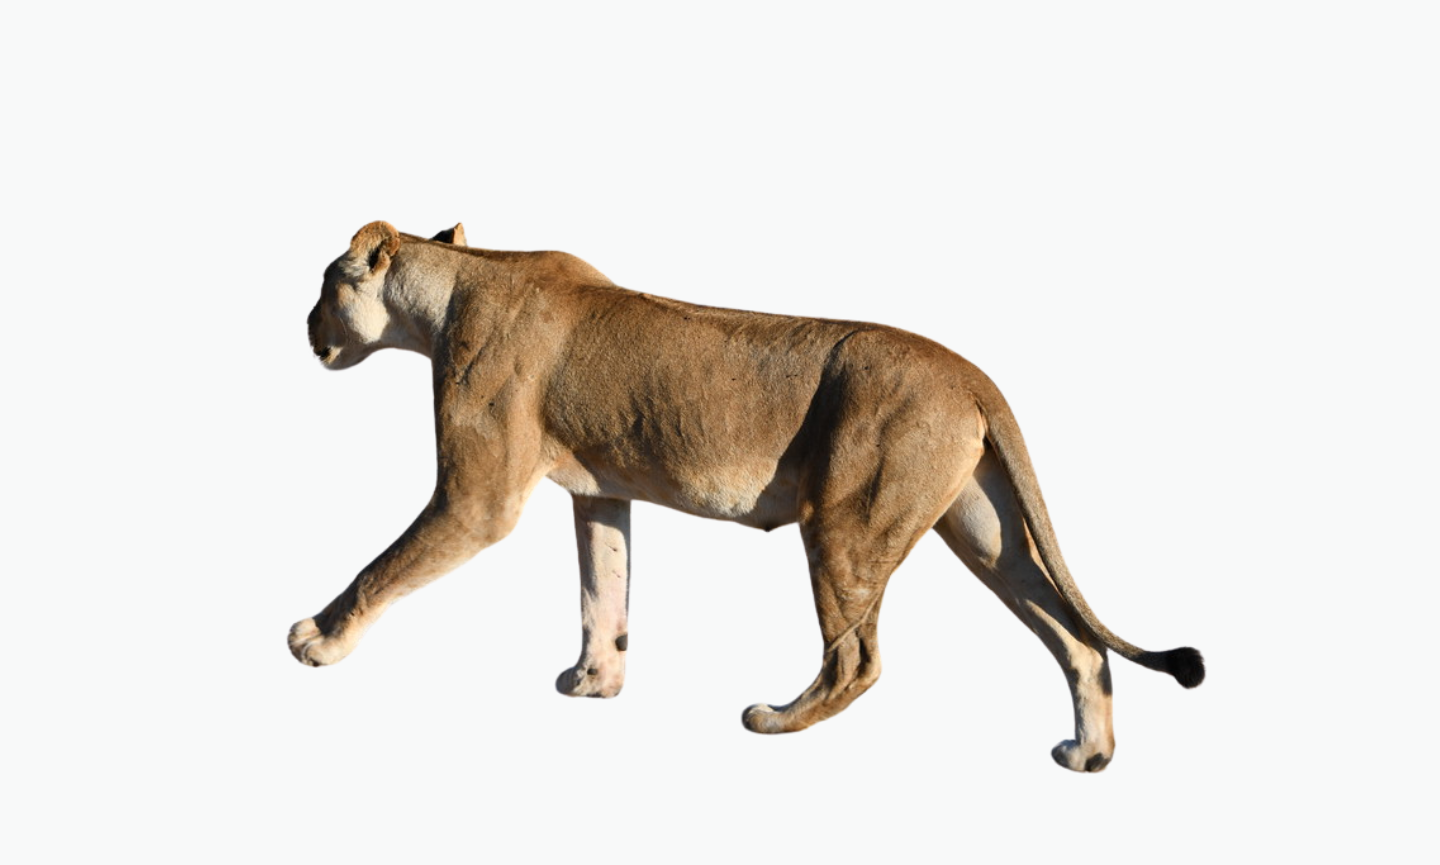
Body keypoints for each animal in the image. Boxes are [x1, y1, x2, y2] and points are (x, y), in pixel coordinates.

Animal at [292, 220, 1204, 771]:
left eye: (328, 284)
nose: (305, 329)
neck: (448, 291)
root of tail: (975, 375)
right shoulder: (601, 492)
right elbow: (604, 591)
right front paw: (594, 682)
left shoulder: (478, 496)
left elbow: (380, 567)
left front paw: (318, 640)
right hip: (983, 532)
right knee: (1077, 639)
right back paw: (1088, 756)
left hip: (844, 519)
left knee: (858, 658)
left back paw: (774, 720)